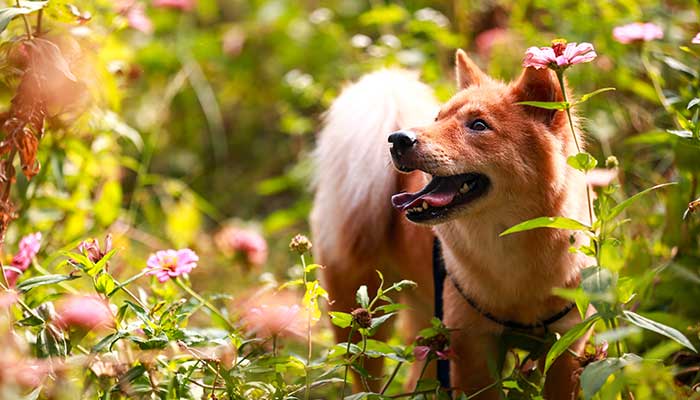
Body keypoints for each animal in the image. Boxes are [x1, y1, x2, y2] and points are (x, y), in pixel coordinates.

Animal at [312, 50, 592, 400]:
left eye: (479, 125)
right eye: (438, 118)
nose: (398, 139)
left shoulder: (566, 347)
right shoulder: (471, 348)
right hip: (362, 321)